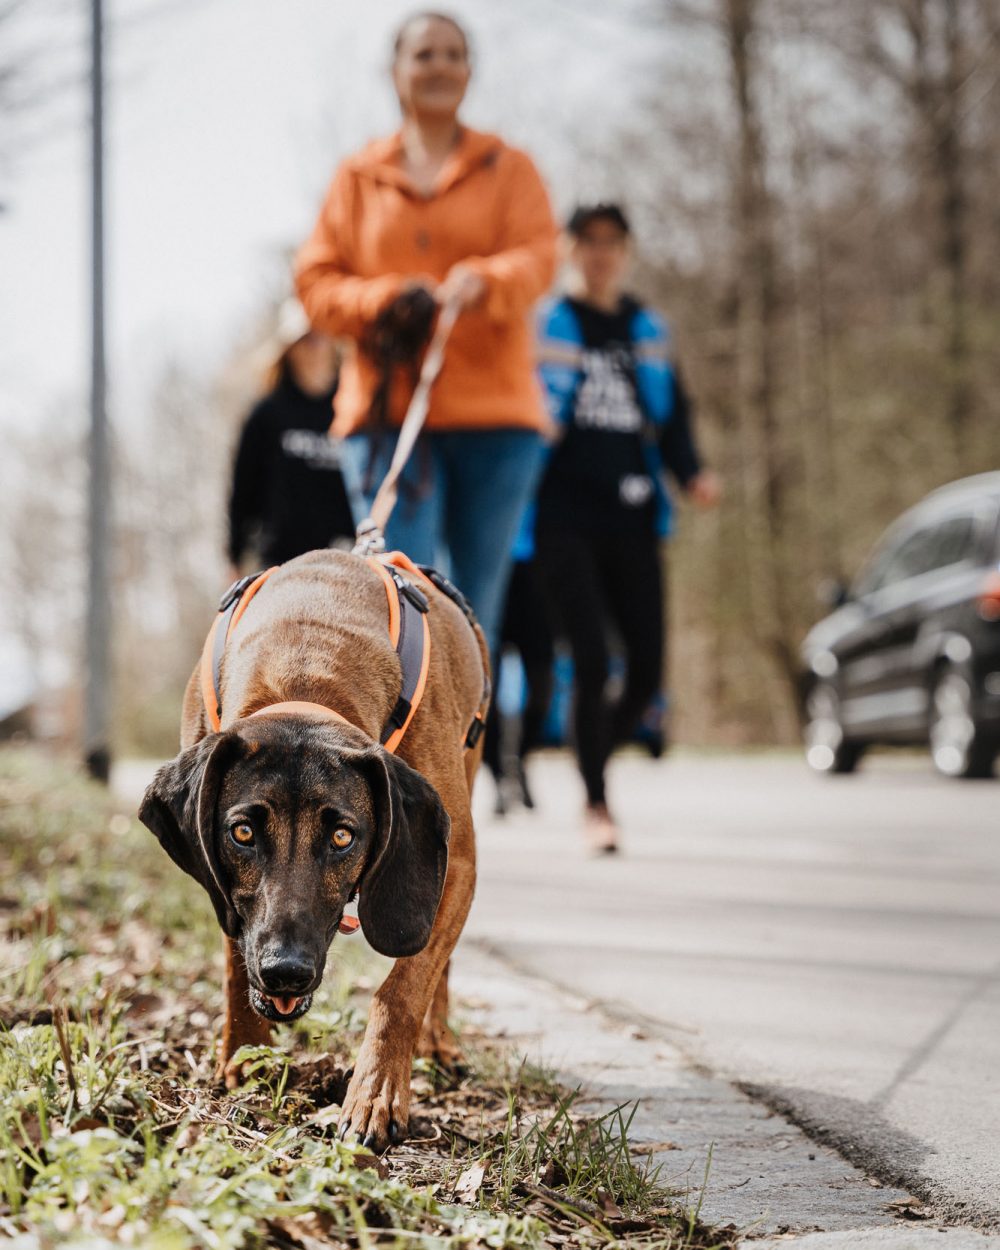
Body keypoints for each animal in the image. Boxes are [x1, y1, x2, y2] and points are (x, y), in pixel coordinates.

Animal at [137, 550, 487, 1150]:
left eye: (343, 837)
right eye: (243, 833)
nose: (286, 972)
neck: (306, 665)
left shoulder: (455, 863)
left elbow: (403, 987)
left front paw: (375, 1093)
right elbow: (234, 958)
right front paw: (245, 1056)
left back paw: (438, 1040)